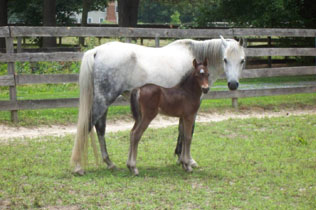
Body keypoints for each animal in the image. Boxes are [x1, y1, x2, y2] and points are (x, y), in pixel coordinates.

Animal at [70, 35, 246, 174]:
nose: (233, 84)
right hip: (104, 100)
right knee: (88, 126)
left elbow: (182, 131)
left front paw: (180, 158)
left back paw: (110, 163)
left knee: (100, 128)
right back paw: (78, 167)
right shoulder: (191, 111)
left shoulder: (183, 111)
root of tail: (96, 51)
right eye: (225, 60)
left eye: (242, 60)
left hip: (104, 101)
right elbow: (188, 132)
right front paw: (188, 161)